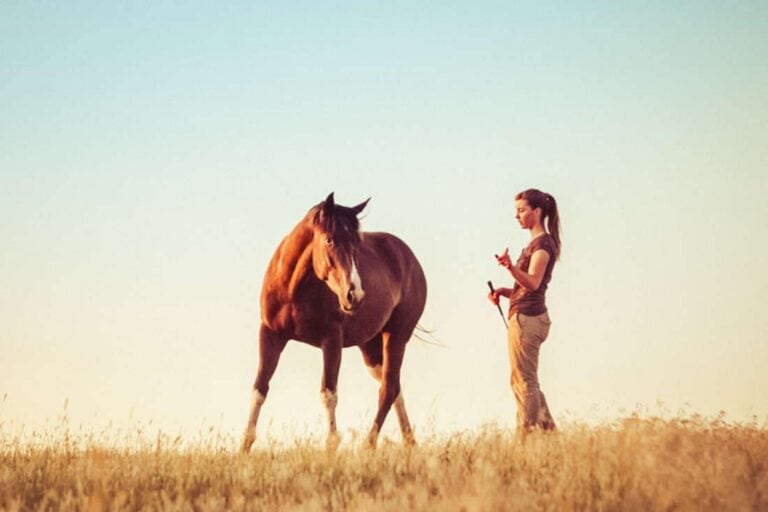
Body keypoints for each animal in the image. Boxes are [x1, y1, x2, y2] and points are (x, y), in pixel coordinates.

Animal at [241, 193, 427, 452]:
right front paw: (244, 447)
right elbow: (259, 389)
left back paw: (368, 447)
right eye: (329, 240)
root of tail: (410, 258)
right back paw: (410, 443)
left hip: (397, 336)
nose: (355, 295)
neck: (293, 289)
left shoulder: (331, 341)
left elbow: (328, 393)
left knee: (388, 389)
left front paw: (331, 448)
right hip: (370, 347)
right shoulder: (270, 335)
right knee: (394, 386)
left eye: (356, 244)